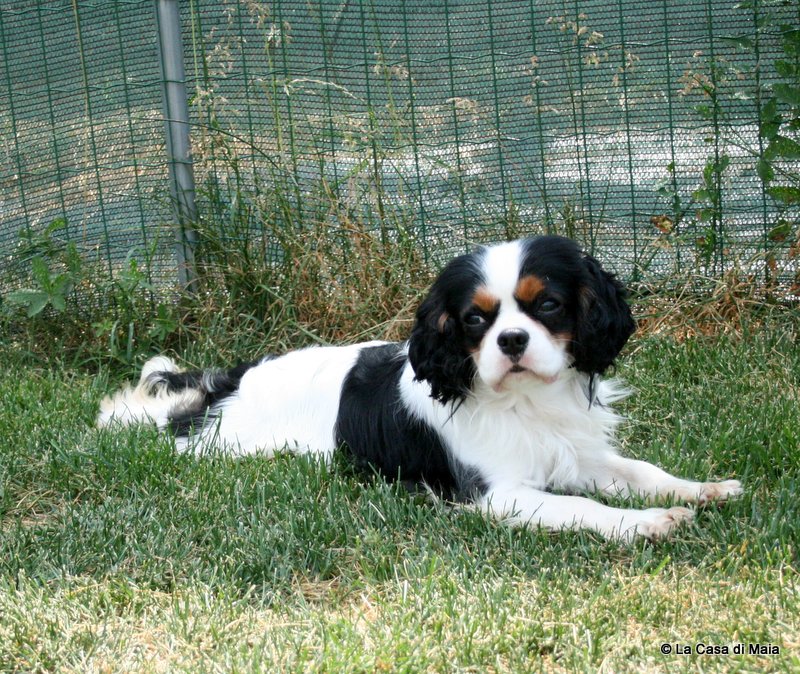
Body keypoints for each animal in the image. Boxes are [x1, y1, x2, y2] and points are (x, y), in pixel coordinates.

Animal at [98, 235, 742, 541]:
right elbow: (583, 507)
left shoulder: (577, 454)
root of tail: (234, 382)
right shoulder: (497, 494)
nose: (511, 341)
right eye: (475, 319)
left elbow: (641, 472)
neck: (525, 400)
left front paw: (703, 490)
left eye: (548, 305)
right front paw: (648, 524)